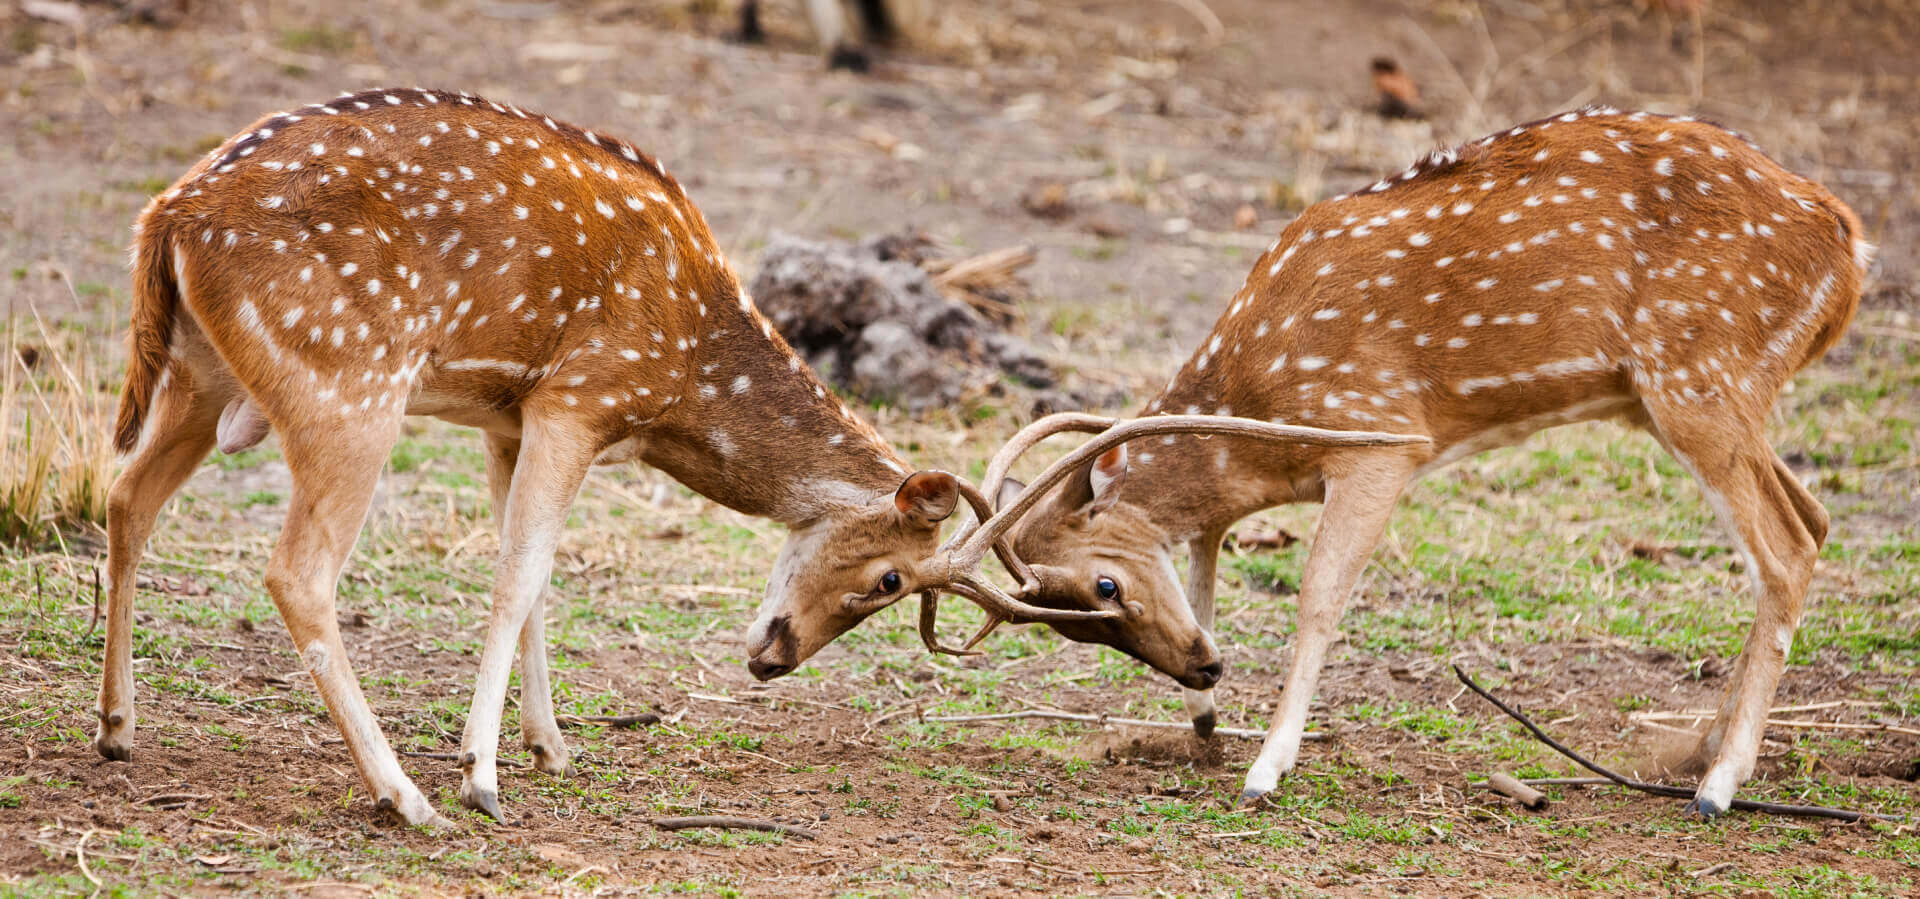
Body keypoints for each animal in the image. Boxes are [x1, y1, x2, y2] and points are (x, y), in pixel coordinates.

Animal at [97, 87, 1113, 826]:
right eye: (893, 578)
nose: (773, 658)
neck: (686, 375)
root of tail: (169, 216)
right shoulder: (576, 396)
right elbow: (518, 574)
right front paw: (481, 773)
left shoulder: (509, 417)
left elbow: (539, 578)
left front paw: (550, 744)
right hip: (345, 389)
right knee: (296, 571)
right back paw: (407, 797)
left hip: (200, 376)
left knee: (125, 496)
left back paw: (115, 728)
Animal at [967, 107, 1866, 814]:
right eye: (1073, 625)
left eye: (1103, 586)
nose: (1200, 668)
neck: (1261, 421)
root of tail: (1852, 250)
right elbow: (1205, 559)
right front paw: (1206, 726)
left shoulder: (1382, 436)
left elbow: (1318, 595)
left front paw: (1265, 767)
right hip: (1701, 396)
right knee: (1816, 517)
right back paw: (1693, 751)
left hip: (1698, 376)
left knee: (1786, 546)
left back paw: (1719, 784)